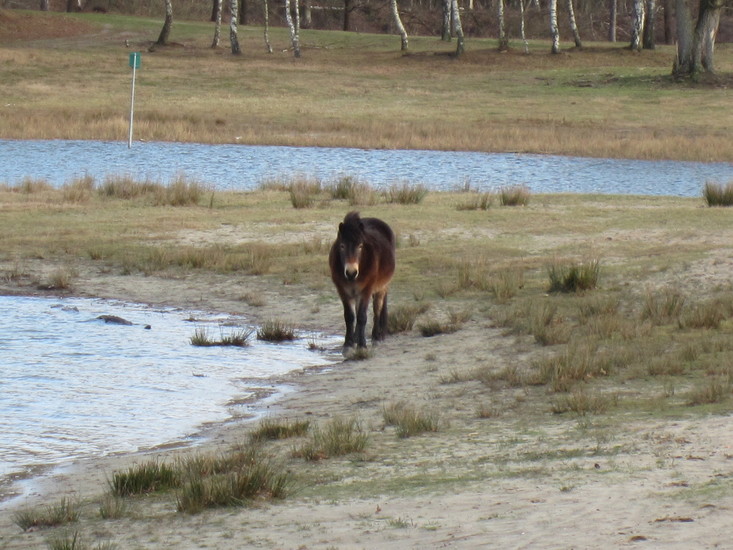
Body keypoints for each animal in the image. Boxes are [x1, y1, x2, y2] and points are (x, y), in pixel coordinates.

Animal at [329, 211, 396, 350]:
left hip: (381, 288)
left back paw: (376, 336)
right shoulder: (343, 290)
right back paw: (355, 337)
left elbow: (362, 317)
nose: (351, 273)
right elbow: (349, 316)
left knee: (377, 310)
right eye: (342, 246)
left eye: (360, 246)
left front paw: (362, 345)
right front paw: (348, 344)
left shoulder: (366, 290)